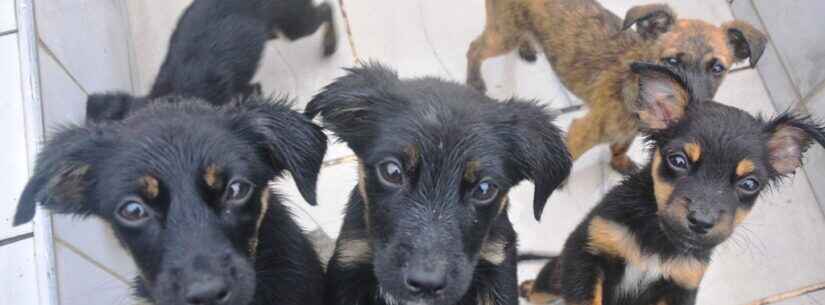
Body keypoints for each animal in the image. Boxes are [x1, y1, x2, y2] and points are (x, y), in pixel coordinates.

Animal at [466, 0, 768, 175]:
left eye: (717, 69)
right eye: (671, 61)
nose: (694, 109)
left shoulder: (629, 131)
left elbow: (622, 145)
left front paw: (619, 162)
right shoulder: (583, 131)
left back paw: (528, 46)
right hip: (503, 34)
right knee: (475, 48)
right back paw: (474, 81)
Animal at [520, 62, 824, 304]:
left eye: (750, 184)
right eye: (678, 160)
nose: (701, 222)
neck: (659, 242)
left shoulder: (681, 286)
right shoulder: (586, 252)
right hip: (554, 273)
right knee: (540, 290)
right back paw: (526, 286)